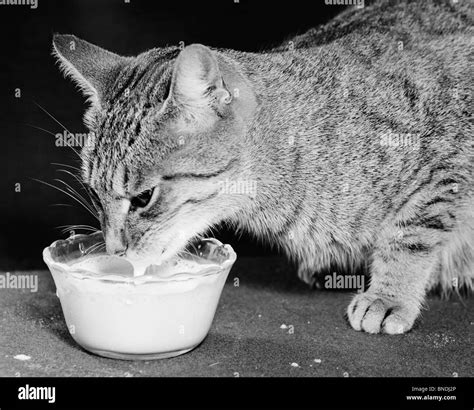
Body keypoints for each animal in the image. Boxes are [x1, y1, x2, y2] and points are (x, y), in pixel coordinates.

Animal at [50, 0, 472, 334]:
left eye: (143, 198)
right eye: (95, 193)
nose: (114, 250)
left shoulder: (446, 165)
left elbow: (410, 235)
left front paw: (390, 295)